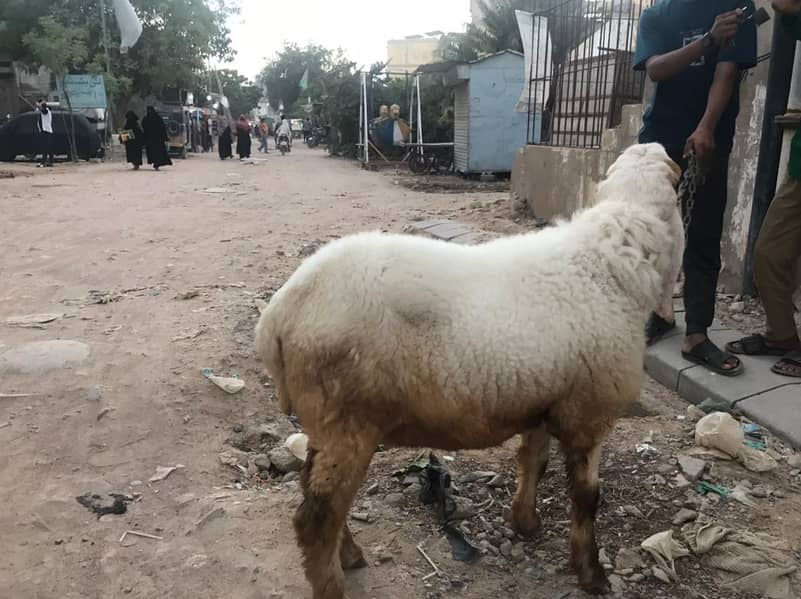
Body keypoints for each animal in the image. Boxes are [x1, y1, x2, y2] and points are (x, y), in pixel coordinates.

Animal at [255, 142, 682, 598]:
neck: (607, 262)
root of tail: (280, 312)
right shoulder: (588, 411)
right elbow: (587, 497)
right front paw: (591, 573)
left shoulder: (544, 398)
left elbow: (533, 461)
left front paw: (525, 521)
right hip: (344, 419)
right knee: (315, 516)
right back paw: (332, 582)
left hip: (329, 421)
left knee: (318, 495)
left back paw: (349, 554)